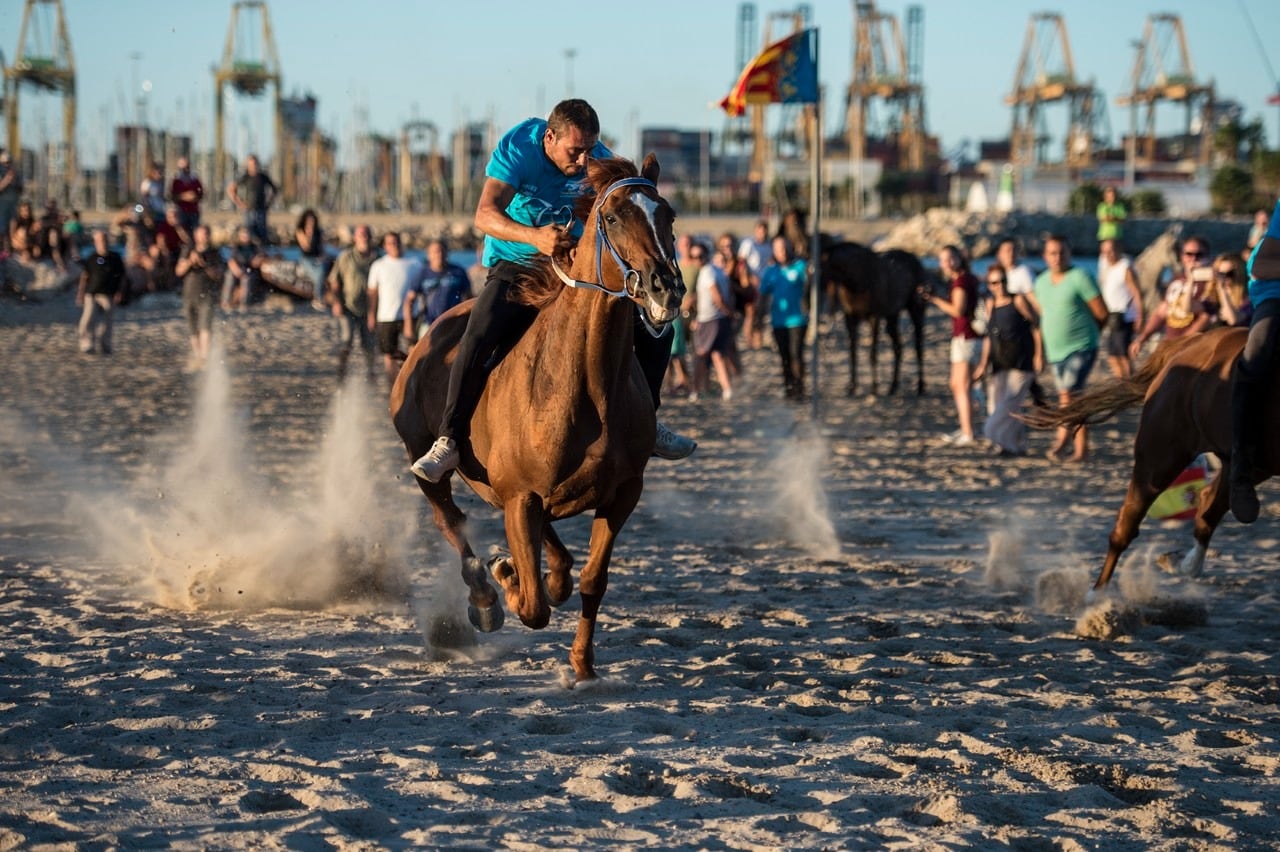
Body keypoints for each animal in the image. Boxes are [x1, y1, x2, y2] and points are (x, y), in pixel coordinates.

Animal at [389, 154, 686, 685]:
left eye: (667, 215)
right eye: (613, 218)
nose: (665, 288)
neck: (585, 380)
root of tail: (424, 342)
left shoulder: (622, 494)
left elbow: (592, 580)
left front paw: (582, 663)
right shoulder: (521, 496)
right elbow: (531, 606)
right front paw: (505, 575)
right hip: (425, 460)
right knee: (451, 522)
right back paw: (485, 594)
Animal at [1018, 324, 1269, 591]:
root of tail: (1192, 342)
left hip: (1243, 463)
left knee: (1208, 505)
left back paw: (1179, 564)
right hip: (1160, 456)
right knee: (1131, 518)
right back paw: (1097, 594)